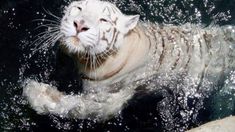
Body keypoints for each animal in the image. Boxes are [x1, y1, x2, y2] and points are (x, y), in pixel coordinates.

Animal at [23, 0, 235, 120]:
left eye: (103, 20)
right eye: (78, 8)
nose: (80, 24)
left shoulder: (112, 99)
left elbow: (77, 107)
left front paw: (35, 93)